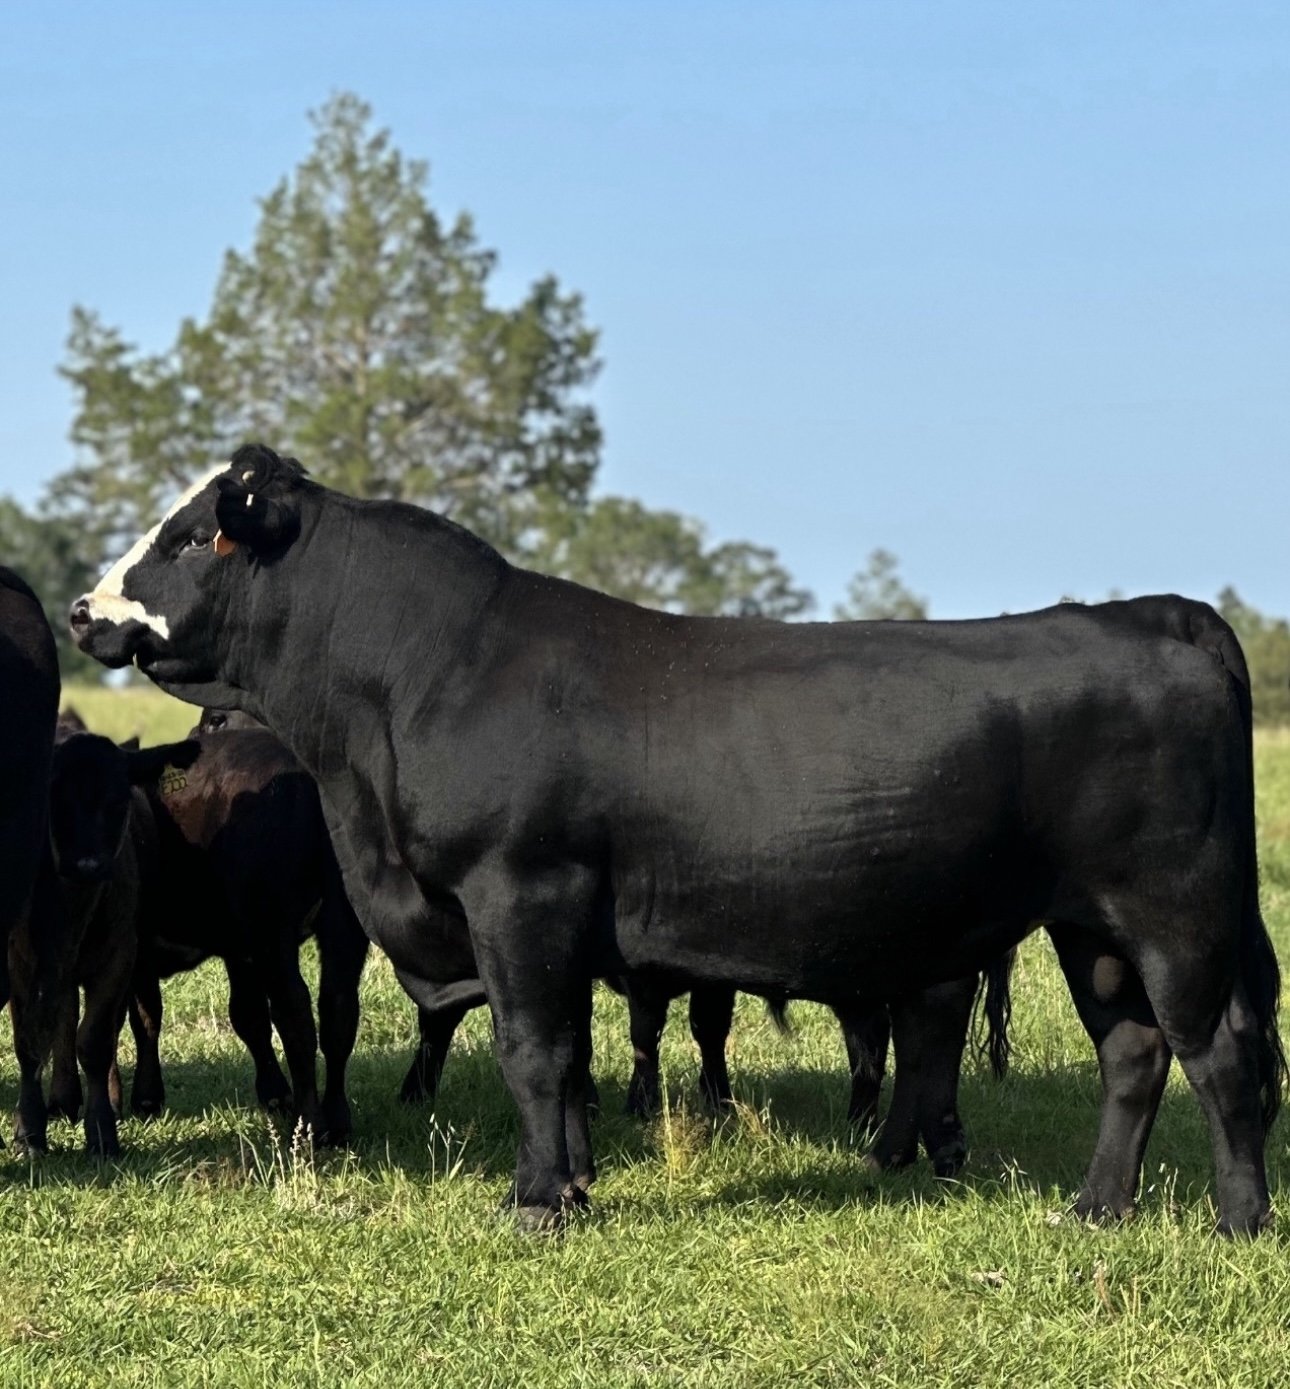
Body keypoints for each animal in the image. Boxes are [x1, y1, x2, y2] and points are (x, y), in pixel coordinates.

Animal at [70, 445, 1284, 1235]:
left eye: (192, 534)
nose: (85, 609)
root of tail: (1149, 613)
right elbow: (572, 1061)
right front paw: (572, 1182)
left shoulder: (520, 893)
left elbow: (533, 1051)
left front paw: (536, 1203)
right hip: (1093, 927)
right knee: (1132, 1054)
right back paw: (1096, 1209)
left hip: (1176, 910)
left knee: (1220, 1053)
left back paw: (1236, 1221)